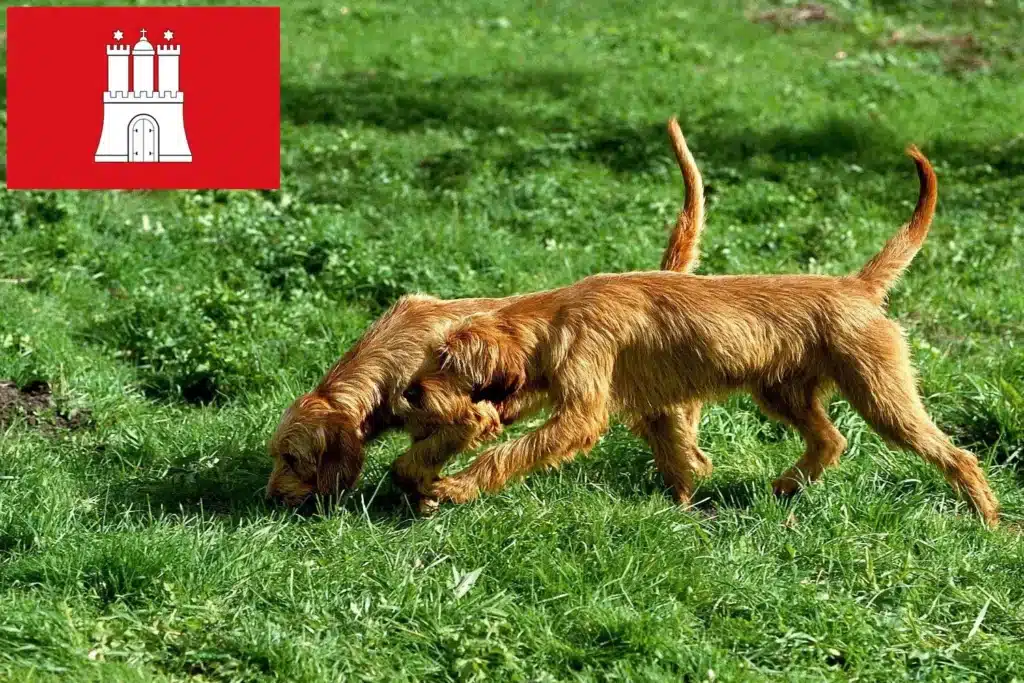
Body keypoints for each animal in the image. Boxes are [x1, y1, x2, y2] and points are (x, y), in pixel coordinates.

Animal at [268, 117, 708, 509]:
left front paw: (428, 490)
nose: (270, 497)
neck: (385, 362)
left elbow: (412, 462)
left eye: (293, 459)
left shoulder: (469, 417)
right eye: (276, 455)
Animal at [413, 147, 999, 528]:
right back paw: (784, 487)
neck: (560, 315)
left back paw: (987, 515)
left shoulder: (582, 408)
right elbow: (675, 455)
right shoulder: (627, 400)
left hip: (881, 394)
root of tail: (857, 287)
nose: (412, 393)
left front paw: (458, 485)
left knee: (955, 453)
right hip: (782, 392)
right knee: (830, 440)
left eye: (446, 361)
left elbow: (513, 452)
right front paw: (683, 506)